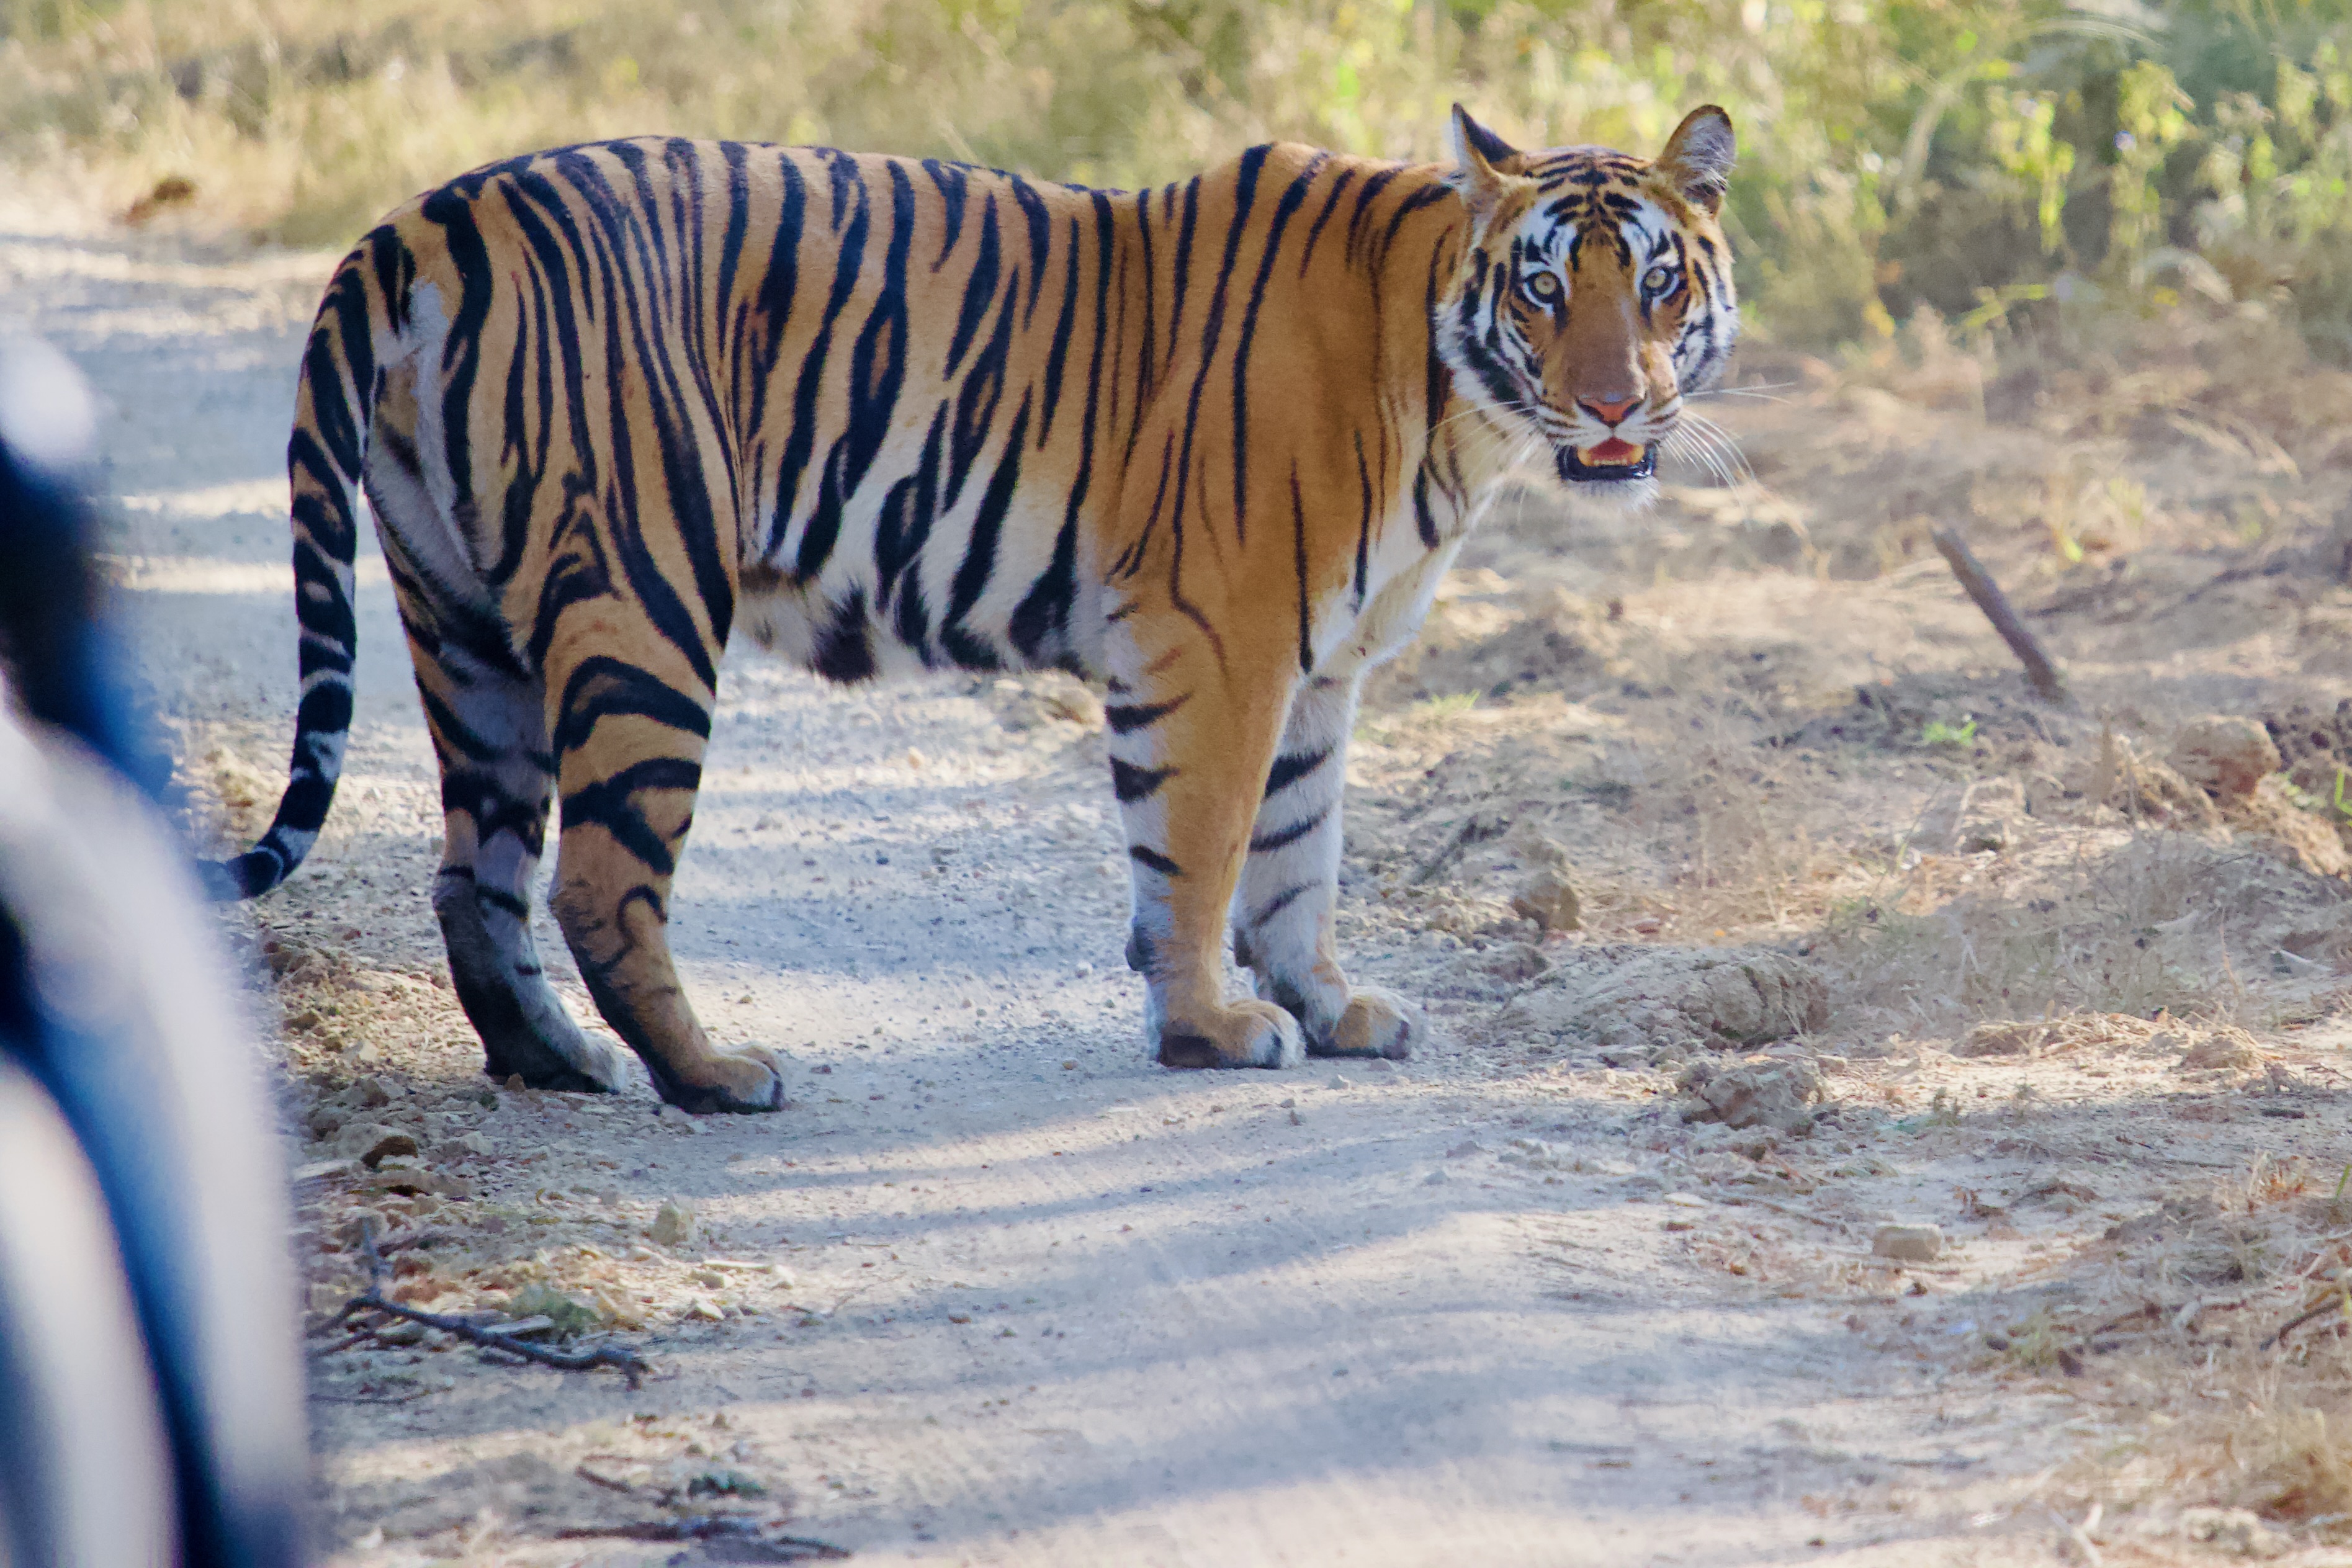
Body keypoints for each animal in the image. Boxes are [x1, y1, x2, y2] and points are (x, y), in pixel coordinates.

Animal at [203, 103, 1738, 1113]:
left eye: (1658, 283)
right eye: (1543, 289)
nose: (1618, 405)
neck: (1458, 409)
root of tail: (433, 214)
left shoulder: (1319, 674)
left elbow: (1300, 852)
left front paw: (1327, 1006)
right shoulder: (1221, 638)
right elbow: (1200, 851)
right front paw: (1210, 1028)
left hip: (463, 621)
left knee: (476, 876)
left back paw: (556, 1063)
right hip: (643, 603)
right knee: (597, 878)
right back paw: (714, 1075)